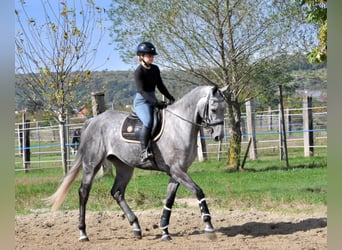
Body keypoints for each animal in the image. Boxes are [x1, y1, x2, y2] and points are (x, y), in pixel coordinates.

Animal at [46, 85, 227, 241]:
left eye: (224, 109)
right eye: (213, 109)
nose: (218, 136)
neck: (179, 126)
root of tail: (93, 121)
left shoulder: (177, 172)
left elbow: (169, 200)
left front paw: (164, 231)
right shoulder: (178, 170)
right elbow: (198, 192)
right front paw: (209, 226)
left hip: (124, 167)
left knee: (117, 193)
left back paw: (136, 227)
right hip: (92, 165)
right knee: (84, 193)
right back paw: (83, 233)